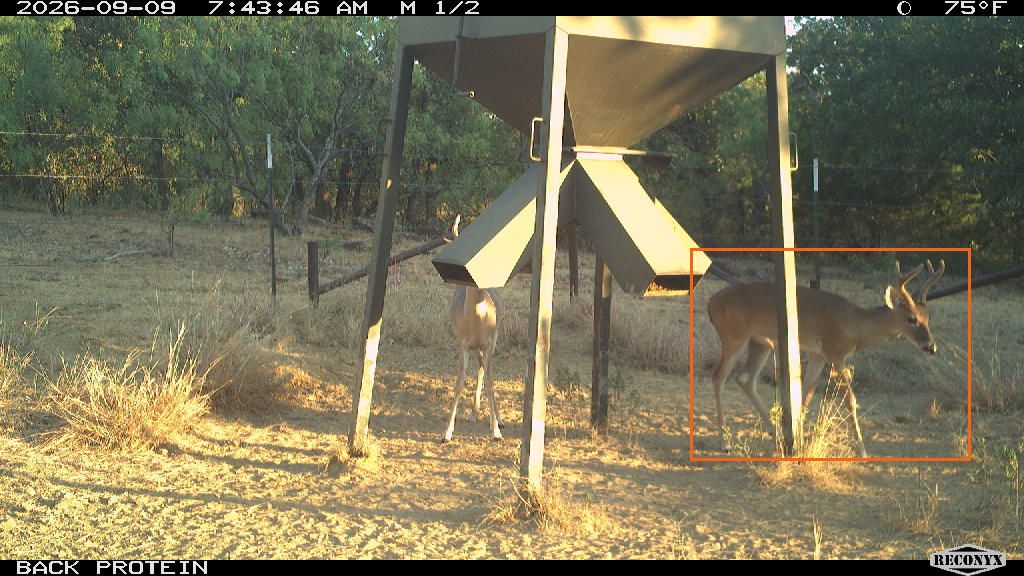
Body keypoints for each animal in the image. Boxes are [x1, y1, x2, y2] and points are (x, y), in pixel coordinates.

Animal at [442, 216, 504, 443]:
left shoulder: (489, 343)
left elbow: (491, 379)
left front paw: (496, 430)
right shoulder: (464, 344)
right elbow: (459, 381)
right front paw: (447, 432)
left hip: (492, 342)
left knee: (484, 370)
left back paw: (496, 418)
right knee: (479, 368)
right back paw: (473, 413)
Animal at [707, 259, 945, 457]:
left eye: (928, 317)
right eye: (911, 319)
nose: (931, 347)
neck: (855, 324)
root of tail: (711, 303)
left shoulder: (817, 355)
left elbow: (803, 396)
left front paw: (799, 441)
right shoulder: (835, 353)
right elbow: (850, 400)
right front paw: (862, 450)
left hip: (761, 342)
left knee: (745, 379)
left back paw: (776, 435)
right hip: (733, 336)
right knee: (719, 376)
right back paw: (724, 443)